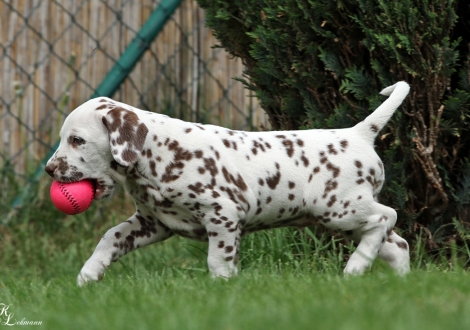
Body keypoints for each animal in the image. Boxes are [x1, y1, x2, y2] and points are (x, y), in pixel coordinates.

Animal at [45, 81, 412, 284]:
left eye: (77, 140)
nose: (49, 169)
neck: (159, 154)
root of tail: (358, 133)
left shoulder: (222, 215)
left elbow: (217, 260)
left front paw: (221, 286)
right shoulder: (152, 222)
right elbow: (110, 238)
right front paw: (89, 274)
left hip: (339, 209)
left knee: (387, 216)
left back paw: (356, 266)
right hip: (346, 221)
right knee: (397, 243)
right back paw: (397, 282)